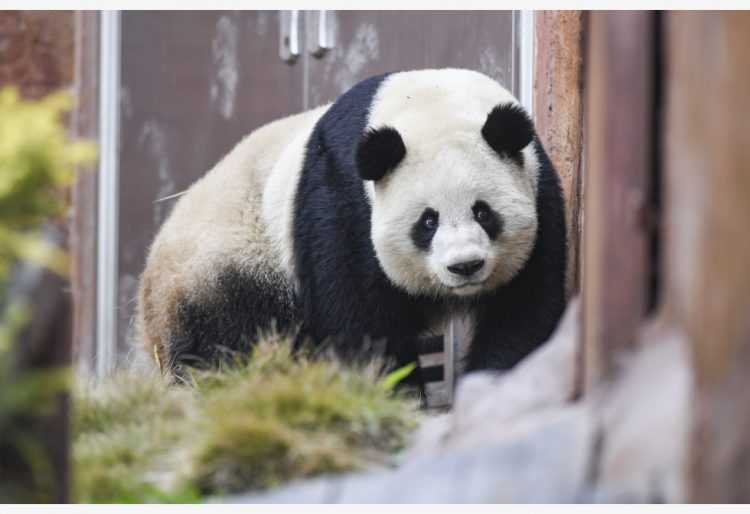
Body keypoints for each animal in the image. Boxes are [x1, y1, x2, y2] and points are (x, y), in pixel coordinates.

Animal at [137, 68, 567, 384]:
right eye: (427, 221)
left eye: (483, 212)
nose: (465, 266)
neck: (431, 103)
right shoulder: (343, 201)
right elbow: (359, 318)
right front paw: (392, 391)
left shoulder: (540, 191)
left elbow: (523, 305)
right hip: (228, 265)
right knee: (230, 340)